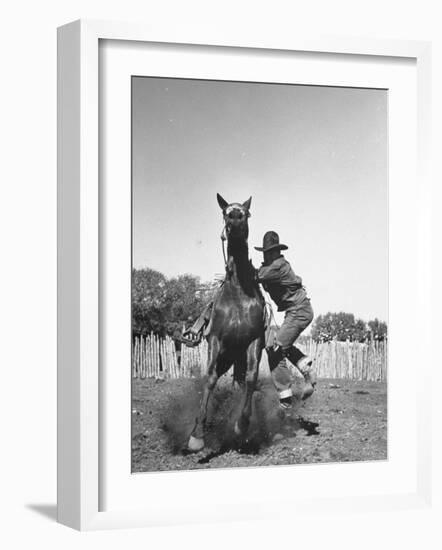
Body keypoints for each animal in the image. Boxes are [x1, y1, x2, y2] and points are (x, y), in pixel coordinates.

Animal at [187, 194, 266, 452]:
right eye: (225, 212)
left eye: (246, 212)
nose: (235, 218)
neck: (238, 294)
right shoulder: (216, 339)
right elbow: (210, 378)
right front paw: (197, 436)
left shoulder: (254, 341)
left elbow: (251, 378)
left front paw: (242, 425)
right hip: (226, 356)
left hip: (237, 357)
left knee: (243, 381)